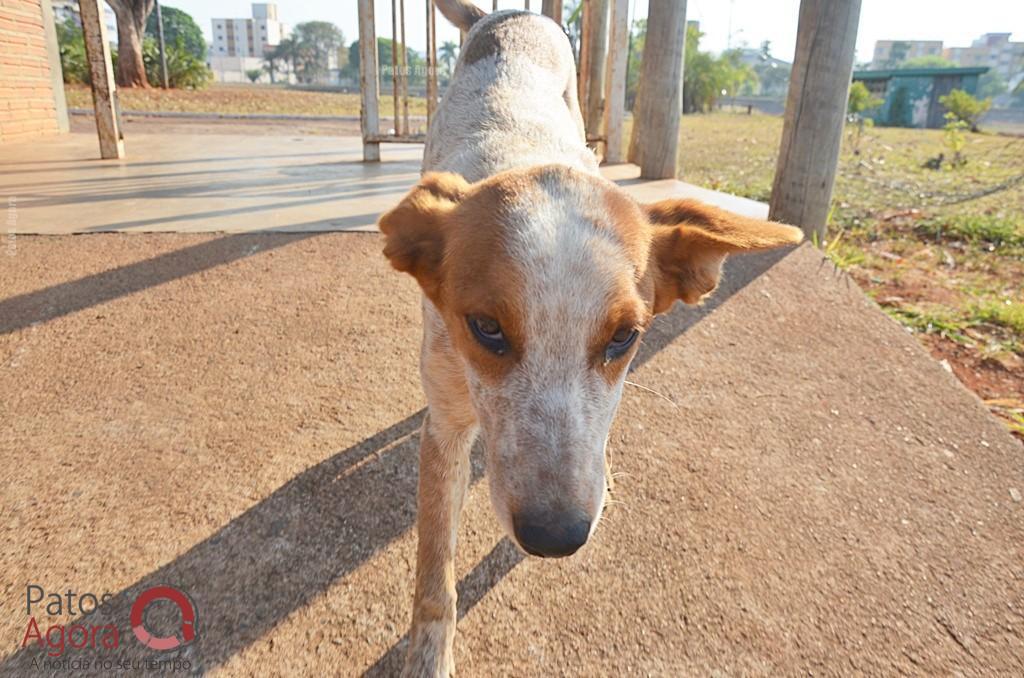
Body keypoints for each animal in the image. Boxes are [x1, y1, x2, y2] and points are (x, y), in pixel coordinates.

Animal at [380, 2, 802, 675]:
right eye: (486, 328)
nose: (555, 538)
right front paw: (428, 656)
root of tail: (511, 14)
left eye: (625, 337)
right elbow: (433, 572)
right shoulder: (443, 424)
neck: (523, 154)